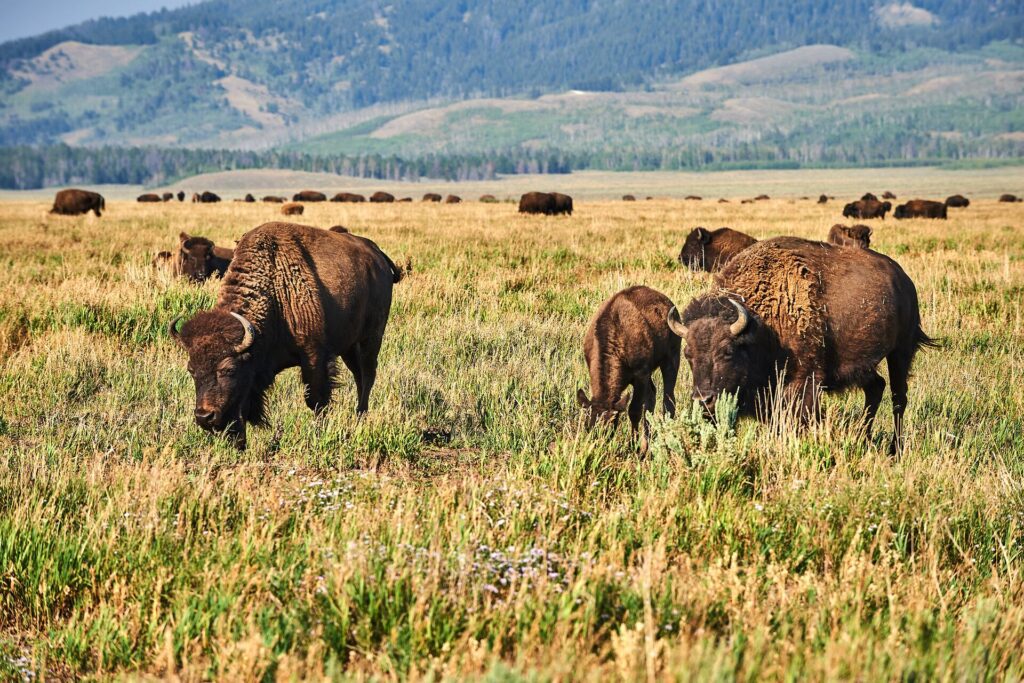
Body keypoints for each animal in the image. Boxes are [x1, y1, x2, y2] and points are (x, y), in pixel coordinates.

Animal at [169, 222, 402, 449]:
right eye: (191, 370)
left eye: (228, 369)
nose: (204, 416)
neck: (275, 290)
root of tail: (378, 255)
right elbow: (242, 407)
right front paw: (240, 444)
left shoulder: (314, 356)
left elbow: (316, 400)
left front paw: (318, 435)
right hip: (350, 347)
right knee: (359, 376)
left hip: (371, 339)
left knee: (368, 375)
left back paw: (360, 417)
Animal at [577, 286, 679, 453]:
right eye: (588, 427)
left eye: (609, 426)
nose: (598, 448)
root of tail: (668, 302)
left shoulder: (641, 376)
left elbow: (634, 410)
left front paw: (633, 446)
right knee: (653, 395)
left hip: (671, 359)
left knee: (668, 399)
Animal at [667, 237, 934, 453]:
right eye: (688, 355)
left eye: (727, 351)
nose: (704, 400)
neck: (762, 323)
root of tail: (904, 280)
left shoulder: (803, 383)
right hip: (862, 364)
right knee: (876, 388)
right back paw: (862, 438)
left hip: (900, 351)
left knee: (898, 398)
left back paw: (895, 449)